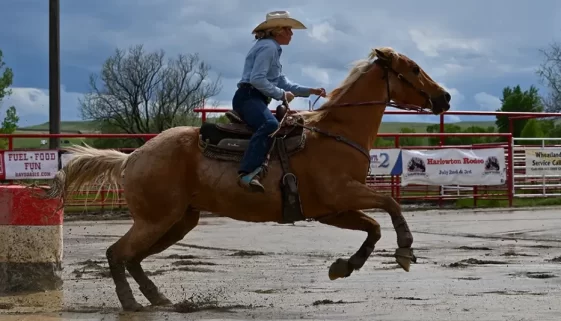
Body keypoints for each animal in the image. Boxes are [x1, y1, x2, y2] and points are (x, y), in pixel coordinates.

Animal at [43, 46, 450, 308]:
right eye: (414, 68)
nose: (445, 97)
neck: (336, 133)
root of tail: (134, 156)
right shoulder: (342, 195)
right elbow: (390, 203)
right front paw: (405, 249)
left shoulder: (331, 210)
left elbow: (373, 227)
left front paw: (344, 266)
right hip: (156, 220)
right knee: (118, 253)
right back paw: (132, 304)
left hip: (176, 222)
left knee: (132, 258)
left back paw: (159, 298)